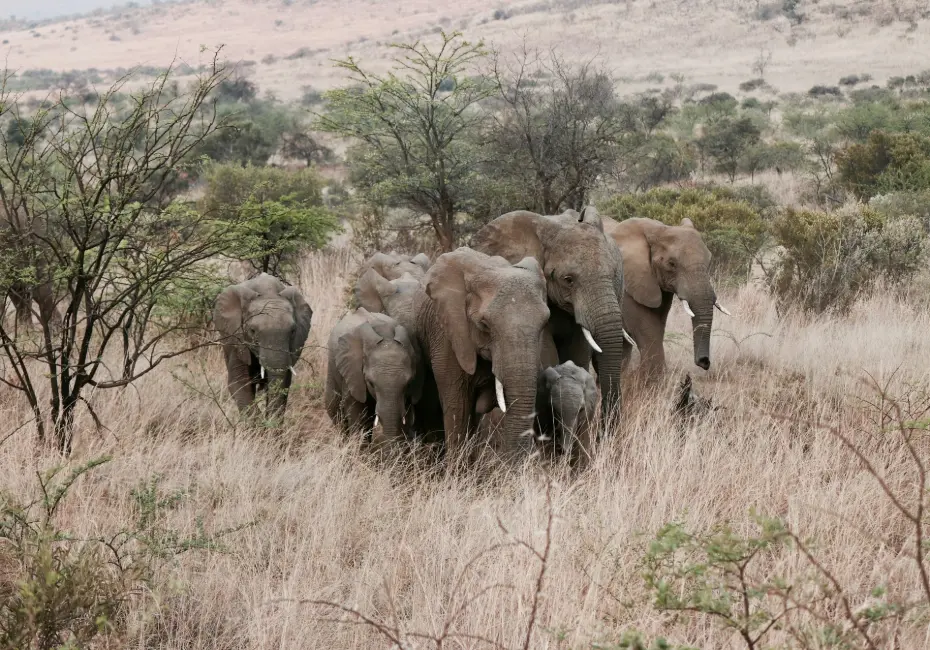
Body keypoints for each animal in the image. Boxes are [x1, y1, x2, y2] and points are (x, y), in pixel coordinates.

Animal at [213, 273, 313, 421]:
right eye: (253, 331)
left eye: (293, 331)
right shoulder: (236, 339)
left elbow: (284, 383)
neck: (268, 292)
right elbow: (239, 383)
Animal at [601, 216, 730, 378]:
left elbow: (657, 325)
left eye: (709, 261)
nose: (704, 362)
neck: (658, 229)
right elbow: (645, 327)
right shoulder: (627, 283)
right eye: (671, 263)